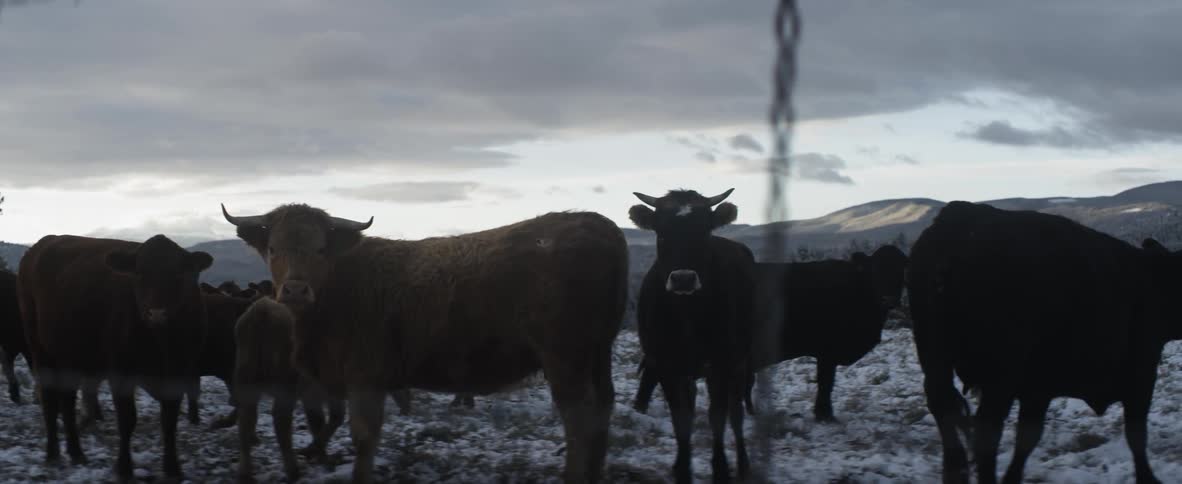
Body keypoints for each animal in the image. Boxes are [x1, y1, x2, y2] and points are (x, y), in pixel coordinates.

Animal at [17, 234, 211, 481]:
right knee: (50, 399)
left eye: (178, 274)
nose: (157, 313)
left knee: (67, 402)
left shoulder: (179, 370)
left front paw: (173, 468)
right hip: (40, 349)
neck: (160, 342)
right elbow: (127, 420)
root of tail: (43, 243)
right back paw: (53, 453)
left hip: (70, 357)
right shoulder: (120, 371)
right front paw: (124, 468)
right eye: (139, 273)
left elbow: (169, 421)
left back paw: (76, 452)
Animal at [234, 297, 344, 483]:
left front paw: (319, 454)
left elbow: (319, 420)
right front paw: (316, 453)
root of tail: (261, 311)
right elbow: (332, 418)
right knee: (281, 419)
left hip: (246, 378)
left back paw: (245, 471)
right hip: (285, 385)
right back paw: (293, 470)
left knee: (246, 416)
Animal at [629, 188, 754, 484]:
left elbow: (718, 416)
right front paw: (683, 469)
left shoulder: (721, 364)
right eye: (661, 232)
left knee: (736, 412)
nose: (683, 279)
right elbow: (681, 419)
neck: (687, 314)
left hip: (741, 362)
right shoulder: (666, 366)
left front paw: (721, 470)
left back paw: (743, 464)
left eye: (704, 231)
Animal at [634, 245, 909, 421]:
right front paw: (825, 415)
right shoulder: (827, 351)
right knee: (651, 376)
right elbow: (826, 383)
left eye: (901, 272)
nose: (889, 299)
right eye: (875, 270)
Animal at [908, 201, 1182, 484]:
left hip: (934, 356)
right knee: (986, 427)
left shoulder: (1039, 388)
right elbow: (1136, 435)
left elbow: (1028, 437)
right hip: (1001, 371)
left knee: (943, 407)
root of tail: (957, 219)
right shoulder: (1142, 372)